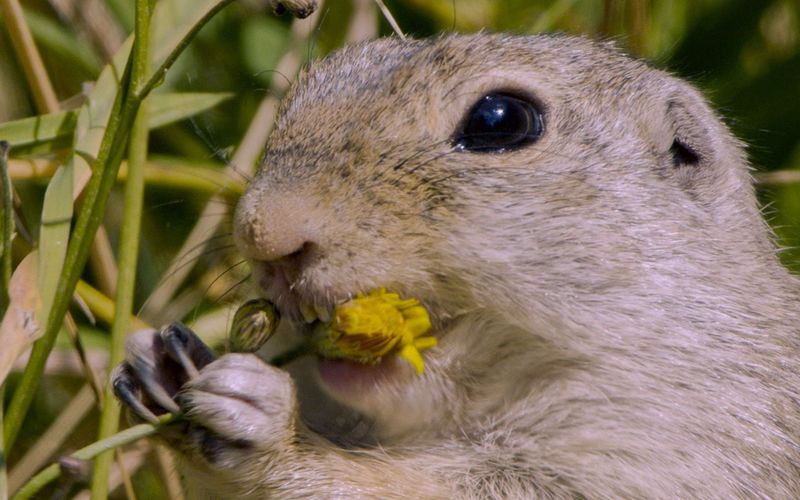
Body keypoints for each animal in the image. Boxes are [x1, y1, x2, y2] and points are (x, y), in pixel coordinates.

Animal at [115, 33, 800, 498]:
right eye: (310, 85)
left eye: (501, 119)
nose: (263, 232)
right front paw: (160, 360)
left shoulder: (671, 450)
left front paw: (265, 426)